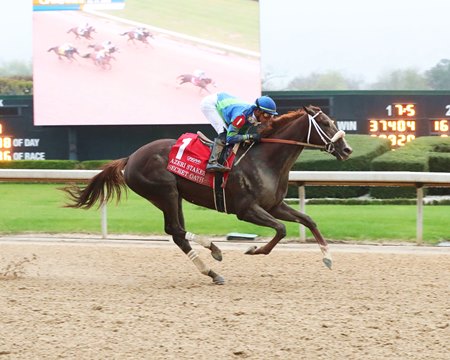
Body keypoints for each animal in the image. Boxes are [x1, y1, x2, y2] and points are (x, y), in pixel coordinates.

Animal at [62, 105, 352, 286]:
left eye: (334, 122)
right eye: (325, 123)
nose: (347, 149)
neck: (264, 159)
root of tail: (130, 157)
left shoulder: (274, 205)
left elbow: (308, 220)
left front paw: (327, 257)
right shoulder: (246, 210)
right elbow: (280, 229)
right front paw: (254, 249)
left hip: (172, 196)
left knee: (177, 234)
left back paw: (212, 272)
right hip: (165, 191)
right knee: (176, 230)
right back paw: (214, 250)